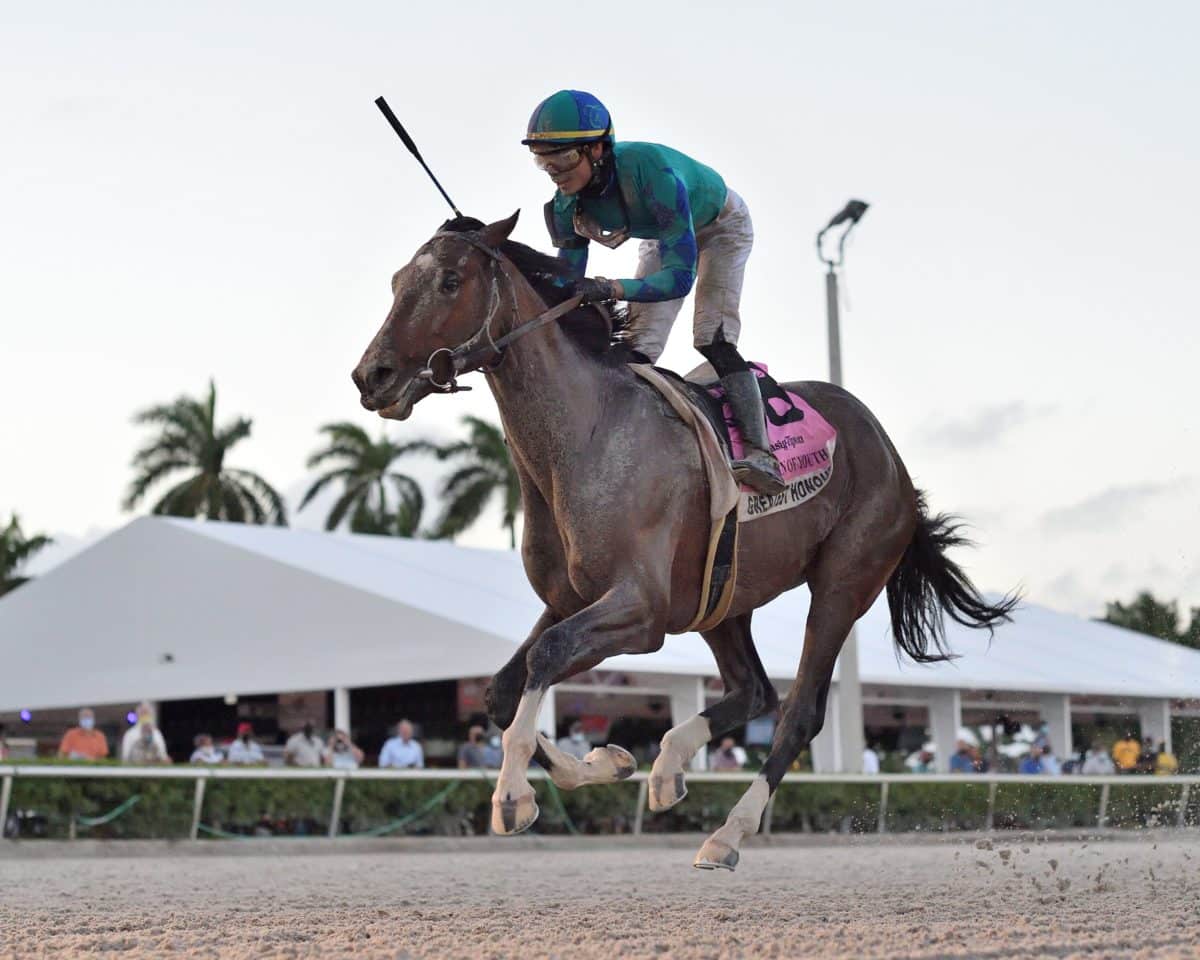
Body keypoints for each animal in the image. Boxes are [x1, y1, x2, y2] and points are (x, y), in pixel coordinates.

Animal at [350, 210, 1017, 868]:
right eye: (395, 282)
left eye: (449, 282)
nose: (371, 376)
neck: (585, 436)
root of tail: (895, 461)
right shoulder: (569, 599)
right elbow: (500, 691)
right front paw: (605, 761)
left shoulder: (641, 611)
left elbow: (544, 658)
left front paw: (512, 796)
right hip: (722, 596)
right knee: (752, 690)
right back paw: (667, 767)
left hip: (844, 582)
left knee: (799, 712)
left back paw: (728, 834)